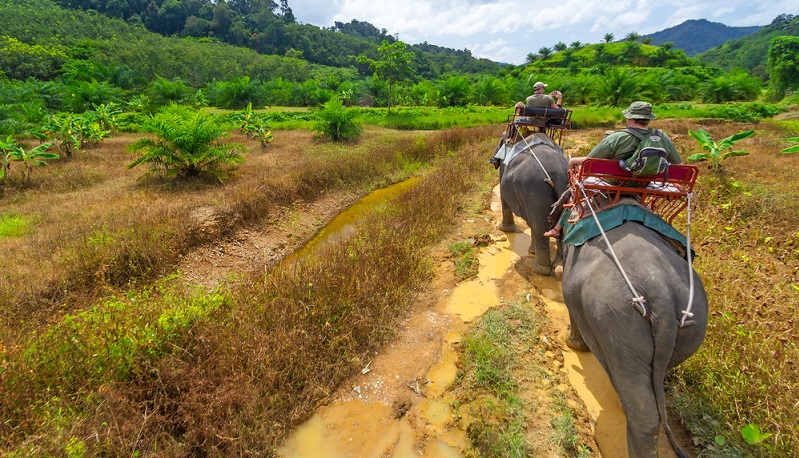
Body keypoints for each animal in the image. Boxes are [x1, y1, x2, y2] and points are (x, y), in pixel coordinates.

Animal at [496, 132, 572, 276]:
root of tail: (560, 173)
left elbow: (504, 199)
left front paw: (503, 229)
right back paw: (558, 264)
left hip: (535, 190)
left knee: (539, 227)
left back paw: (537, 269)